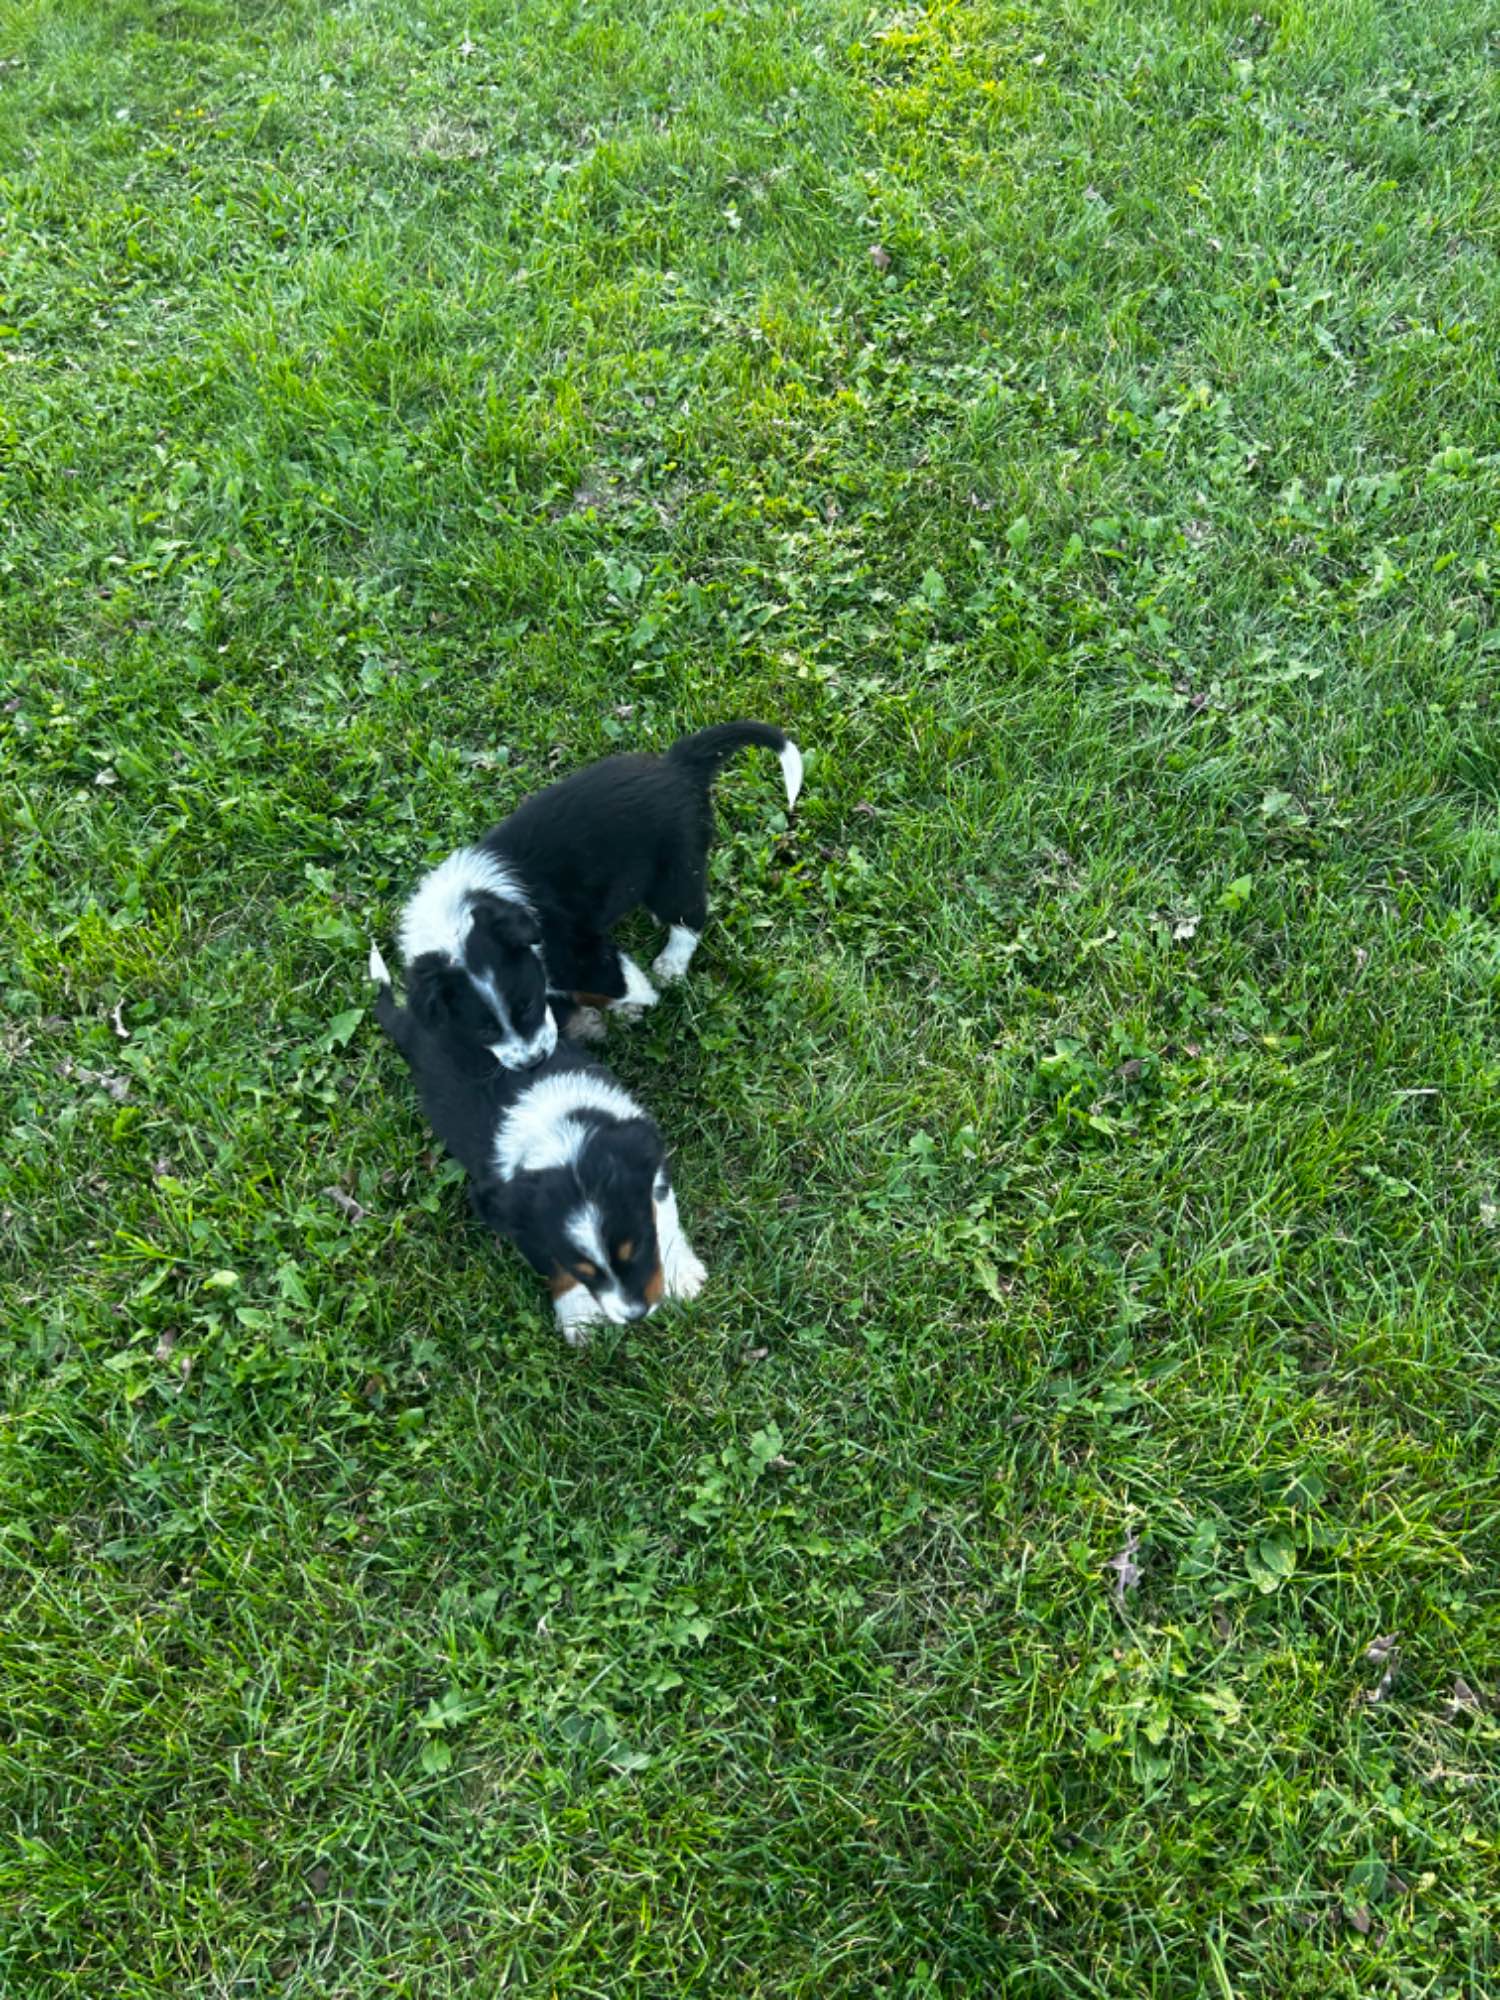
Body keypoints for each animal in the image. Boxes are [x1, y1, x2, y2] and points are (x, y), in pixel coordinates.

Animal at [370, 936, 712, 1344]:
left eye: (638, 1247)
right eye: (584, 1270)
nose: (635, 1315)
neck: (562, 1139)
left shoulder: (648, 1161)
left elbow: (664, 1217)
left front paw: (682, 1274)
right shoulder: (514, 1214)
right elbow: (551, 1262)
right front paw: (578, 1315)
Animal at [394, 716, 804, 1064]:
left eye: (527, 1006)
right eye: (483, 1030)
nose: (534, 1063)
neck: (455, 916)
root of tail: (678, 764)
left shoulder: (580, 952)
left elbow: (621, 982)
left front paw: (637, 1002)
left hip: (676, 868)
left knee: (690, 914)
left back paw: (671, 964)